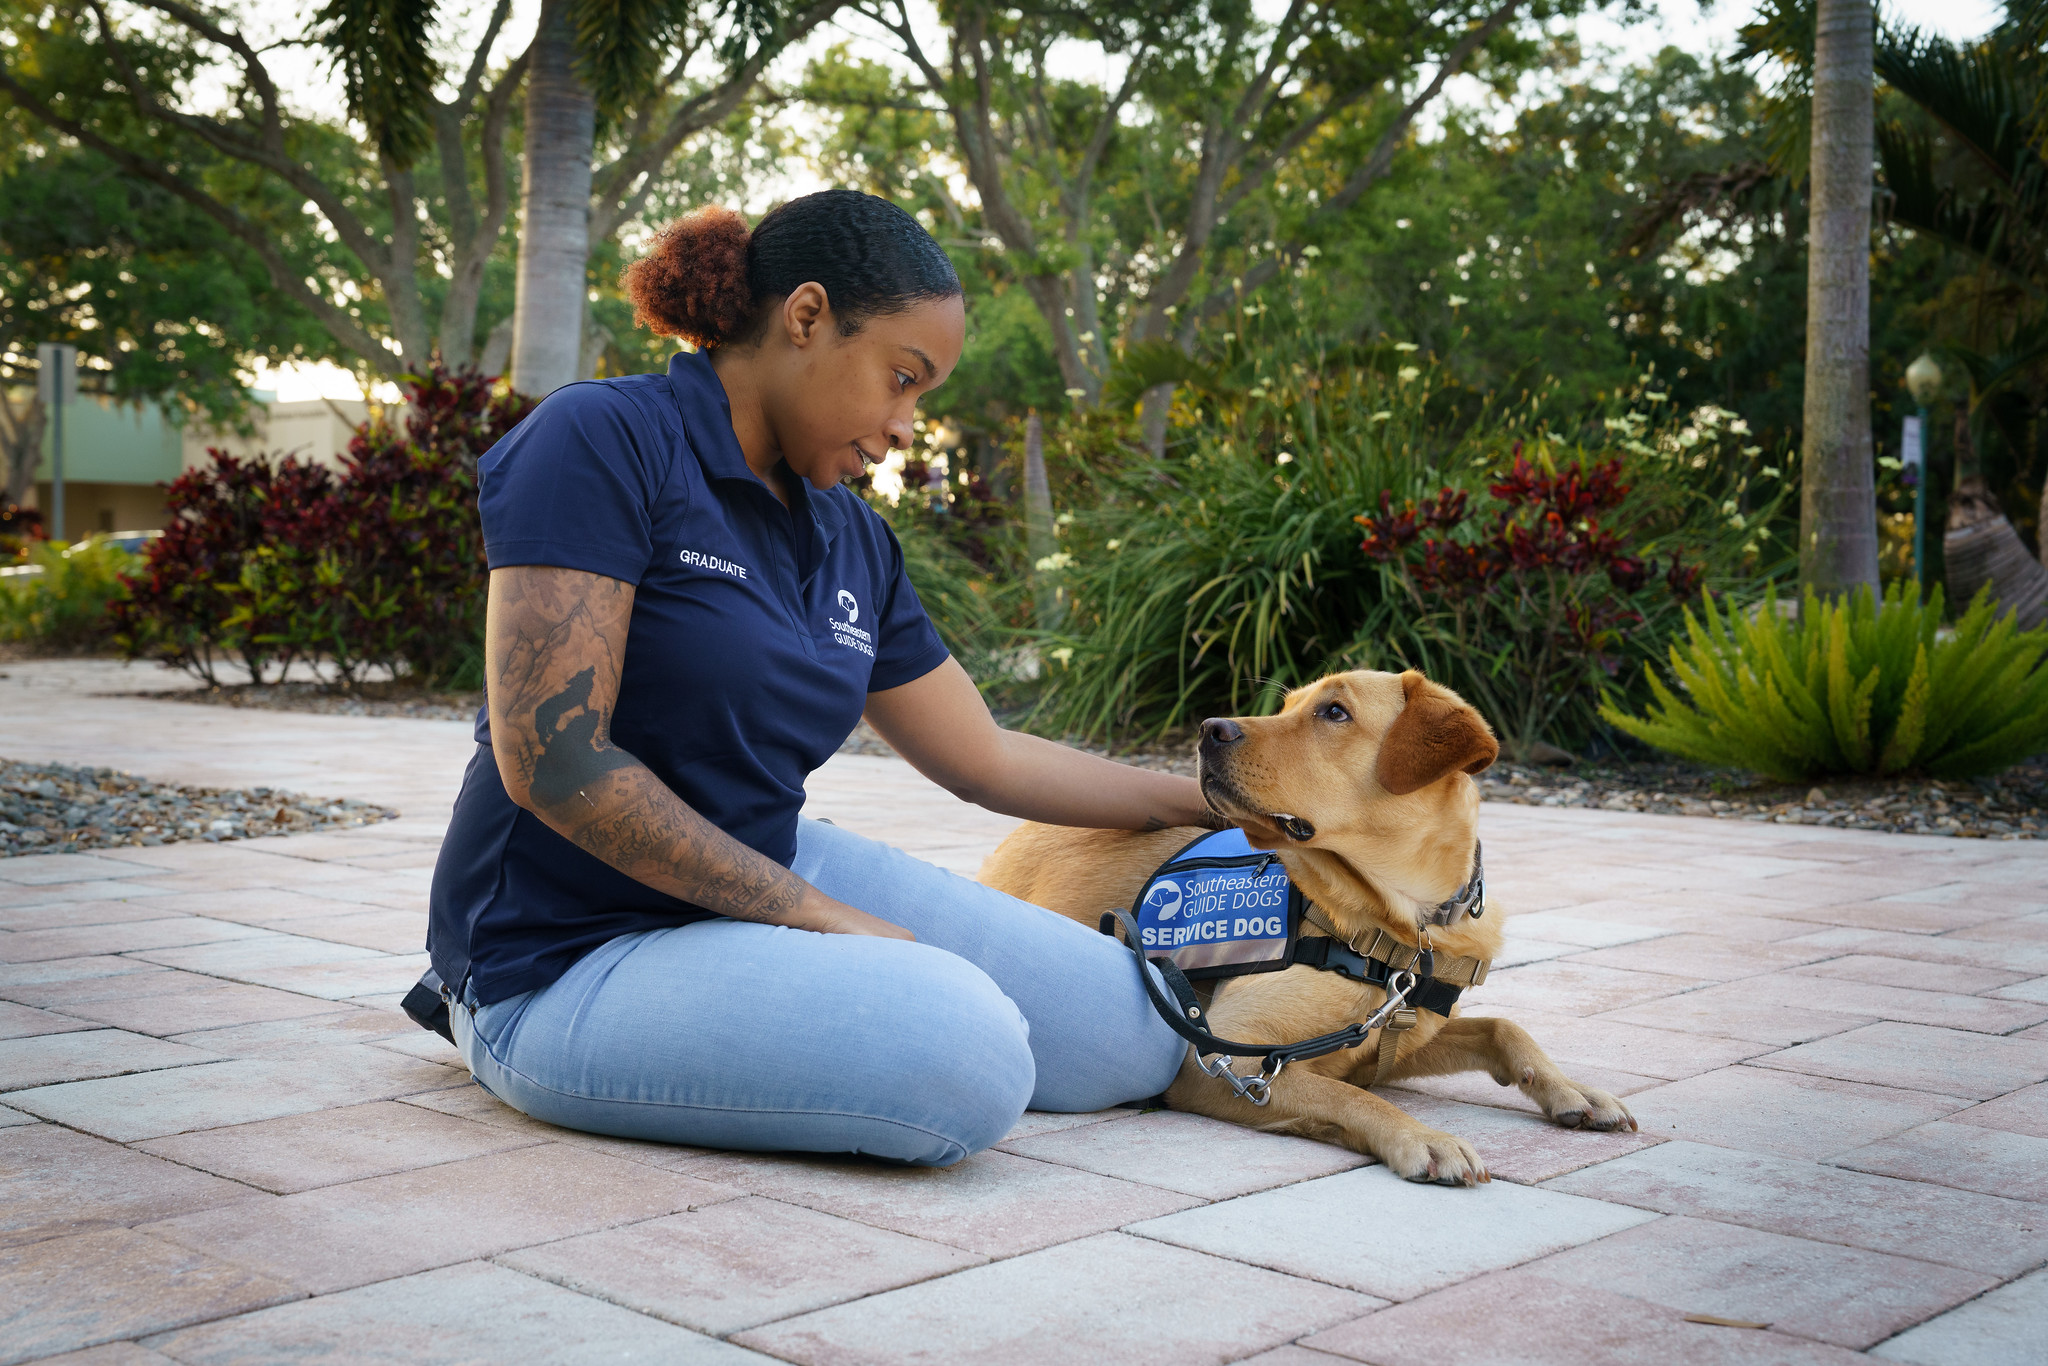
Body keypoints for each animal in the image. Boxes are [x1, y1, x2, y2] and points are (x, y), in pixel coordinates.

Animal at [983, 667, 1638, 1179]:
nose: (1209, 728)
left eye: (1333, 712)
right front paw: (1422, 1137)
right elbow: (1340, 1092)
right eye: (1285, 707)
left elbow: (1504, 1028)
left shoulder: (1396, 1041)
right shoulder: (1227, 1060)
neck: (1402, 928)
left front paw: (1572, 1090)